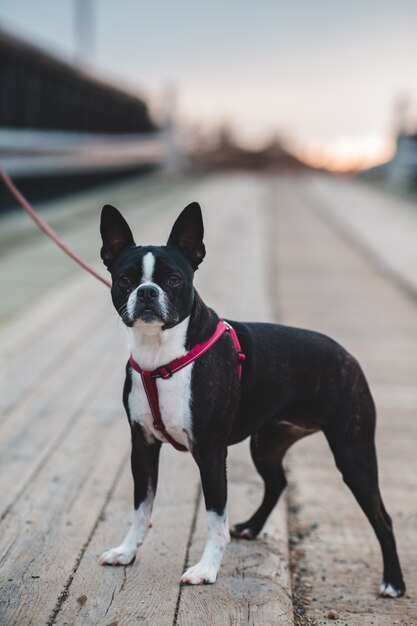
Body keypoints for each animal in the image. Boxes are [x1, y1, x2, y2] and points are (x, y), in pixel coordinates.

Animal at [96, 200, 404, 596]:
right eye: (125, 279)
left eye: (174, 279)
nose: (147, 291)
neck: (160, 355)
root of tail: (347, 356)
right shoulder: (144, 446)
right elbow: (140, 508)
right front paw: (126, 551)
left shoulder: (211, 452)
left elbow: (215, 518)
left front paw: (206, 570)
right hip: (267, 443)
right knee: (277, 483)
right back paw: (253, 527)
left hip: (353, 452)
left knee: (383, 517)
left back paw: (393, 582)